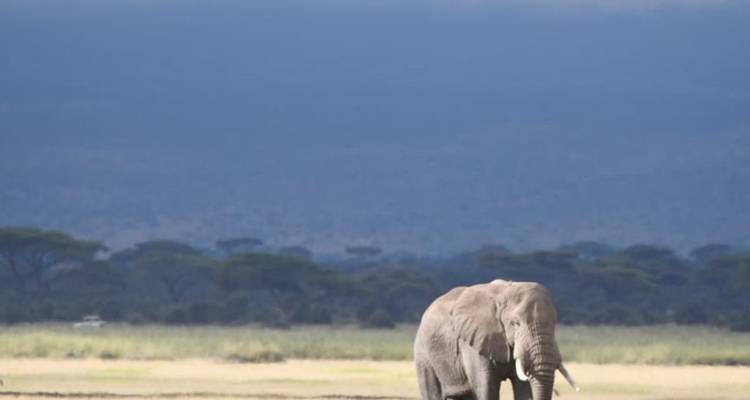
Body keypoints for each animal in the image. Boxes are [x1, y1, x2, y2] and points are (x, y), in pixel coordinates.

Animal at [414, 279, 578, 400]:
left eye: (554, 323)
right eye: (515, 323)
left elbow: (524, 388)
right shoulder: (474, 341)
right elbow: (487, 388)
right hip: (423, 353)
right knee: (432, 391)